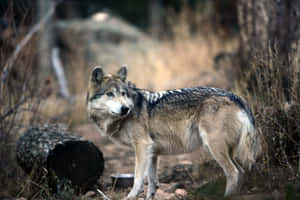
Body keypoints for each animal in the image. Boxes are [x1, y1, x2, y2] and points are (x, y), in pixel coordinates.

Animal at [85, 66, 262, 200]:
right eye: (110, 94)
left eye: (123, 94)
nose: (125, 109)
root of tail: (238, 98)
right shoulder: (152, 151)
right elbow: (152, 181)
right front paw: (149, 197)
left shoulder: (142, 146)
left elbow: (138, 178)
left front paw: (131, 196)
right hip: (227, 150)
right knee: (241, 171)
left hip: (214, 147)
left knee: (233, 172)